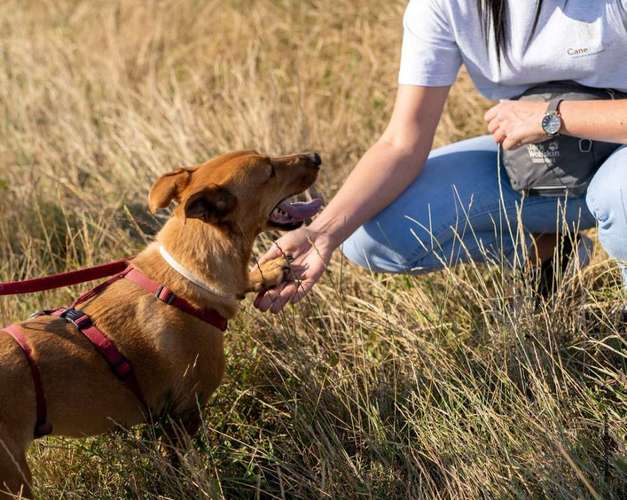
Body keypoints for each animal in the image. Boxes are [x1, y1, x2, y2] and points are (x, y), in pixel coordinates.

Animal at [0, 150, 322, 498]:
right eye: (269, 171)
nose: (316, 156)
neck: (184, 276)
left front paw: (269, 272)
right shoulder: (183, 416)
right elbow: (187, 468)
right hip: (14, 480)